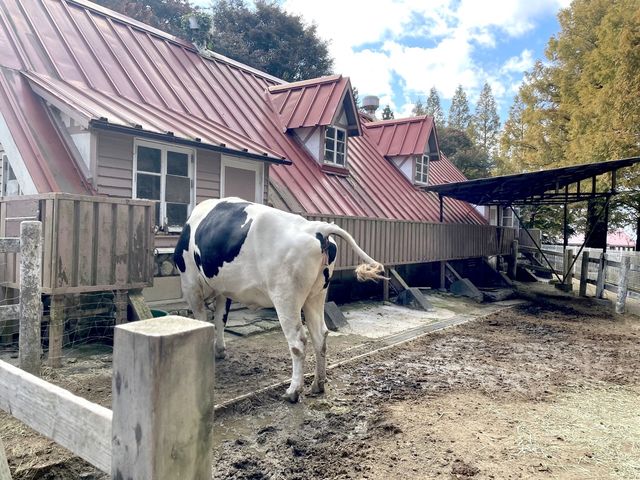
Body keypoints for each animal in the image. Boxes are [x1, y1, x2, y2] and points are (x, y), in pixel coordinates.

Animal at [174, 197, 384, 404]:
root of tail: (317, 228)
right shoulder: (223, 290)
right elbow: (220, 319)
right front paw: (219, 350)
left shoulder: (190, 284)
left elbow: (203, 320)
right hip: (316, 295)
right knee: (320, 335)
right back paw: (317, 385)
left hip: (285, 297)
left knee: (298, 342)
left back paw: (293, 391)